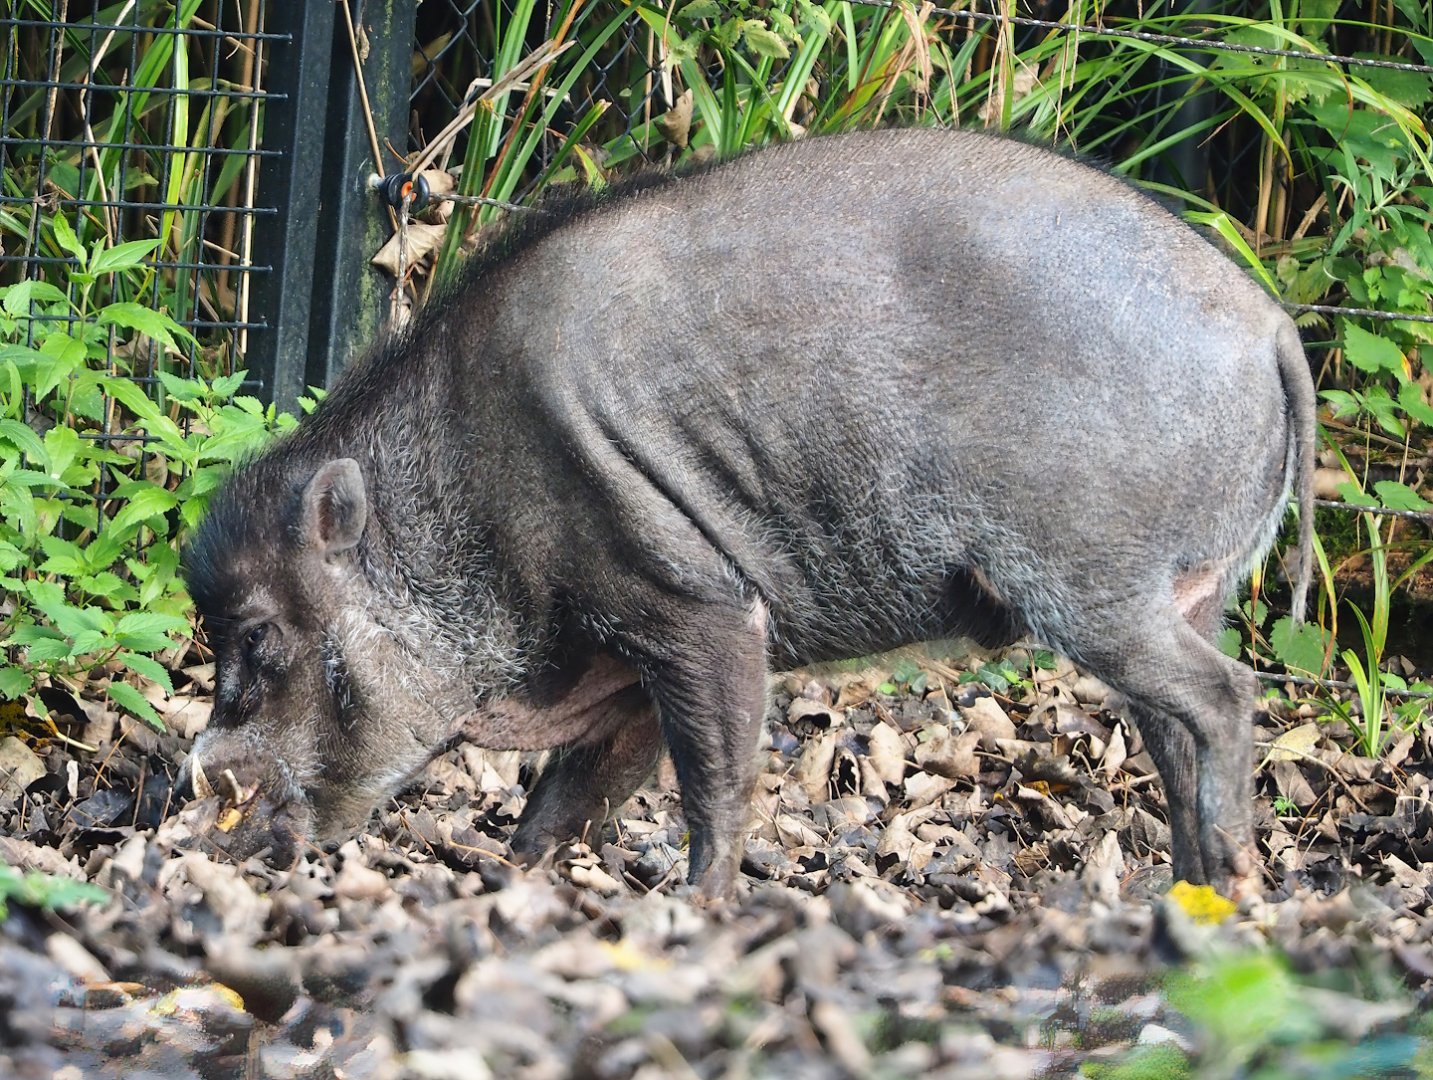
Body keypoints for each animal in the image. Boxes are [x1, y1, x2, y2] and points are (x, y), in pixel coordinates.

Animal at [181, 126, 1315, 900]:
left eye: (260, 635)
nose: (205, 815)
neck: (460, 489)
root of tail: (1269, 326)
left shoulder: (697, 605)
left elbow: (712, 779)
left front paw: (699, 908)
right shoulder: (621, 668)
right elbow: (566, 800)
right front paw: (522, 885)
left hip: (1095, 589)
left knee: (1225, 698)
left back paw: (1232, 879)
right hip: (1185, 592)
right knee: (1176, 728)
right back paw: (1193, 899)